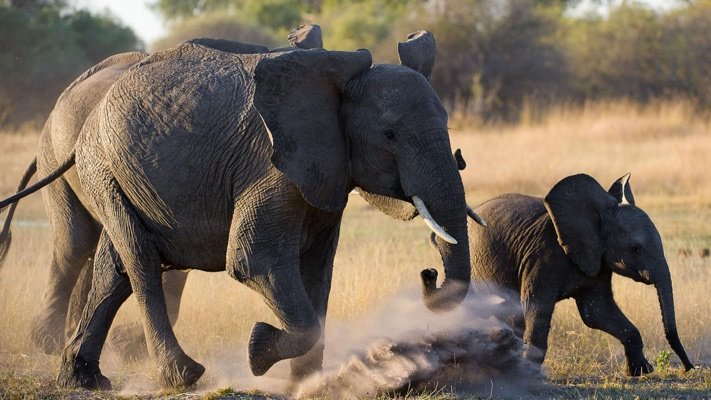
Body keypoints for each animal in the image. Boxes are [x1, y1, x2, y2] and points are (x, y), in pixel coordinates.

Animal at [468, 174, 696, 376]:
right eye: (634, 248)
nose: (689, 368)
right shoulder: (543, 256)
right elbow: (537, 306)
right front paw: (529, 374)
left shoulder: (598, 262)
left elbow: (597, 312)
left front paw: (640, 372)